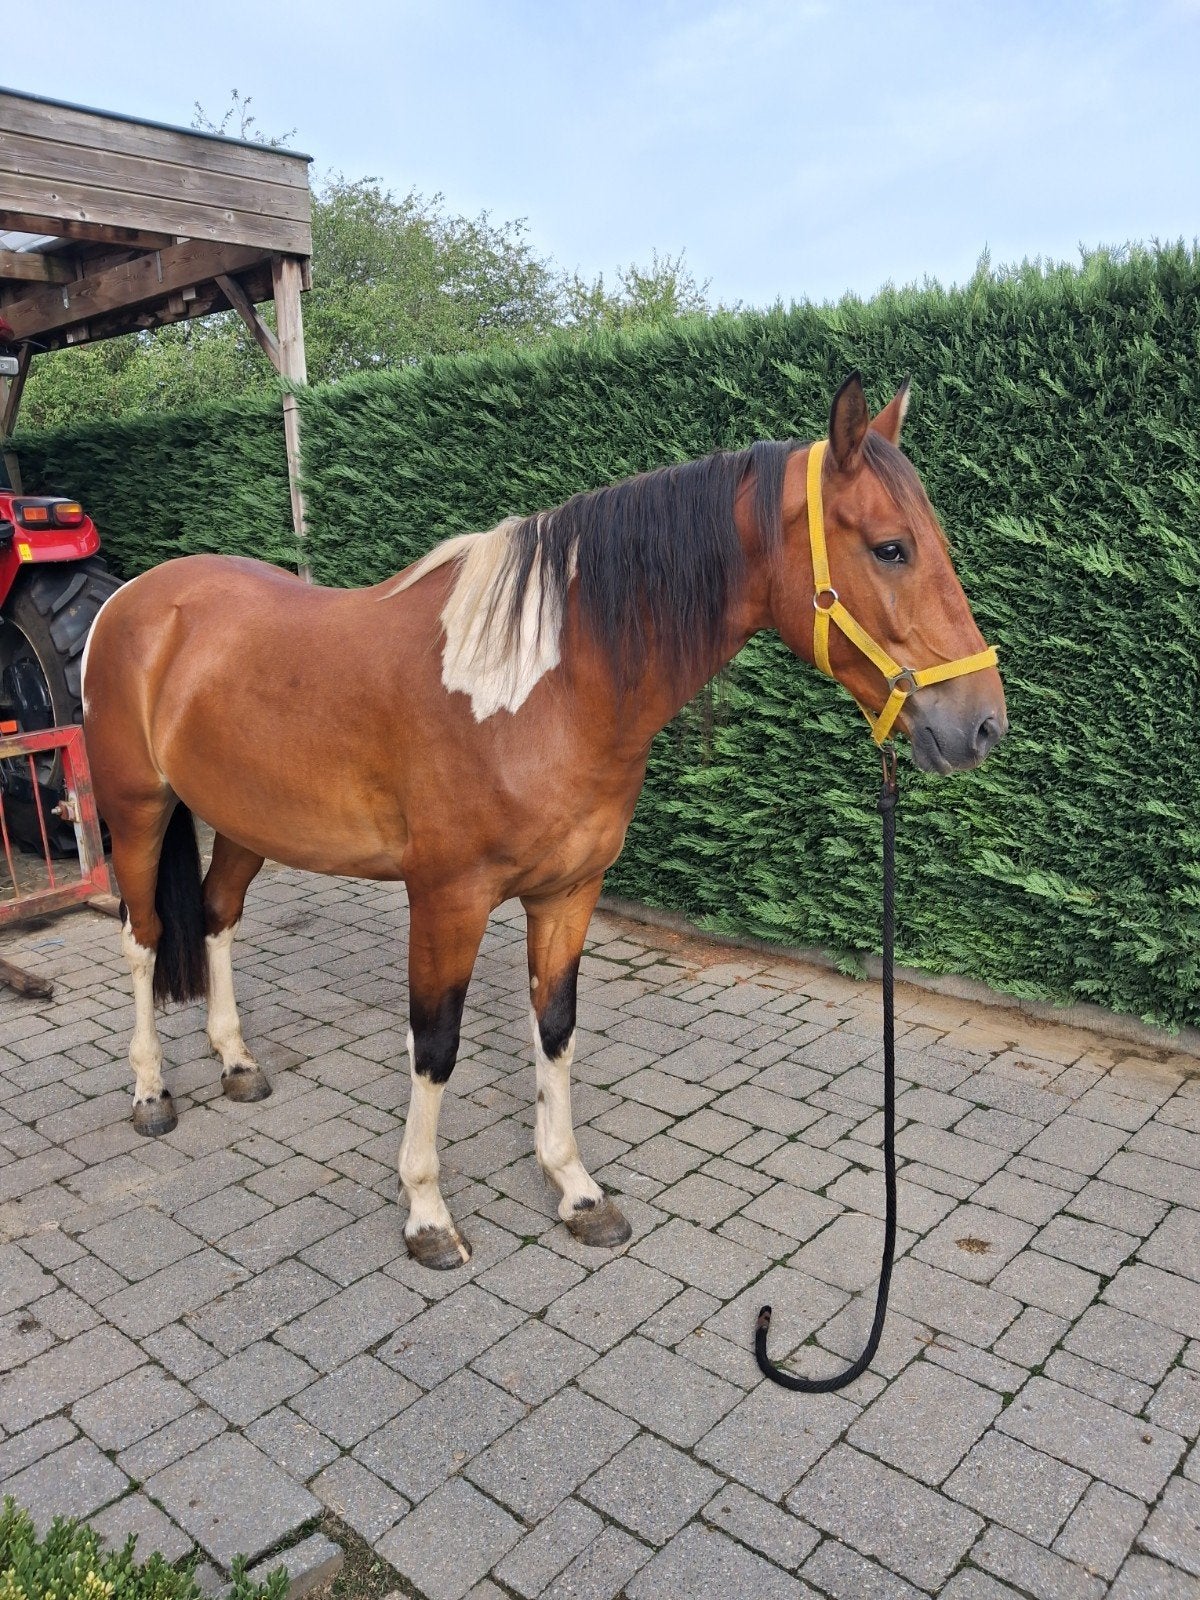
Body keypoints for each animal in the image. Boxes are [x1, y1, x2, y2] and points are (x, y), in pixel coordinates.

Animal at [80, 374, 1006, 1271]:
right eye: (890, 547)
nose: (982, 725)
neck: (543, 689)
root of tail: (136, 598)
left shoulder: (568, 891)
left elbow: (555, 1030)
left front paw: (577, 1192)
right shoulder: (446, 901)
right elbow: (436, 1045)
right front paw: (426, 1214)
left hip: (245, 822)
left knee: (217, 917)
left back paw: (236, 1061)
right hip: (136, 809)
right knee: (142, 935)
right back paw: (152, 1092)